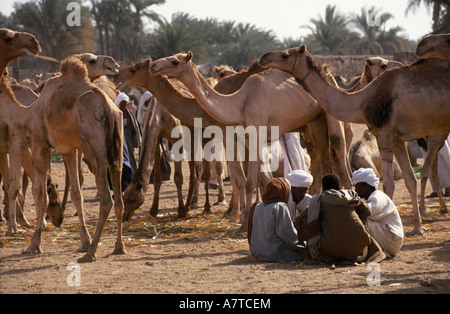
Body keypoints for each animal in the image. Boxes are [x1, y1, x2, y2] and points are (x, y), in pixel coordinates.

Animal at [1, 55, 126, 262]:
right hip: (117, 148)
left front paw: (33, 245)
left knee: (106, 200)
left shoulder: (40, 146)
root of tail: (108, 108)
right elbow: (77, 193)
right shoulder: (69, 150)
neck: (27, 113)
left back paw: (91, 253)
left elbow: (40, 194)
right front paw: (83, 242)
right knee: (118, 198)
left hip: (96, 147)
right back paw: (118, 247)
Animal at [149, 51, 352, 229]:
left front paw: (245, 222)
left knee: (339, 148)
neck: (239, 103)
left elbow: (250, 182)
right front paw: (245, 218)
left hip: (330, 111)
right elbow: (255, 178)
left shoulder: (256, 133)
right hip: (316, 120)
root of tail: (329, 74)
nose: (153, 66)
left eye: (175, 61)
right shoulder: (246, 136)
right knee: (324, 155)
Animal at [256, 44, 450, 236]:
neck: (360, 101)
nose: (263, 58)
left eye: (285, 55)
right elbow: (410, 180)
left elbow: (388, 184)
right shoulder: (397, 138)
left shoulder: (384, 133)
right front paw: (417, 227)